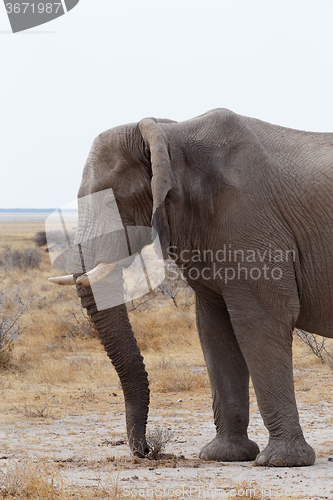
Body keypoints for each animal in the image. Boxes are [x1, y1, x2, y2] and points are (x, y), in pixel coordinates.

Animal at [47, 106, 333, 468]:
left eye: (111, 204)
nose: (145, 450)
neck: (172, 136)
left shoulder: (248, 216)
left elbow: (262, 318)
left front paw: (281, 461)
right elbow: (214, 328)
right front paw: (224, 456)